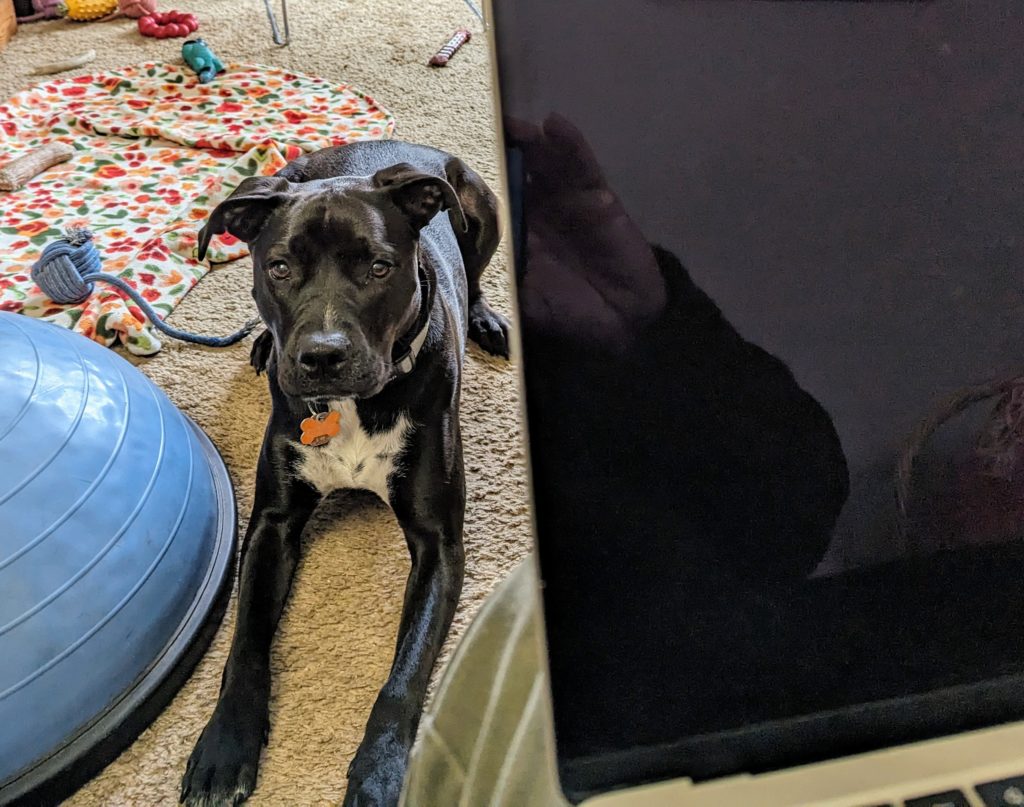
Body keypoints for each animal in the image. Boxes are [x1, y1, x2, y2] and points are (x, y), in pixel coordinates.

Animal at [182, 142, 509, 802]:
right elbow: (245, 644)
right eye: (279, 267)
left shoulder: (439, 545)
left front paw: (380, 771)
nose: (322, 356)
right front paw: (225, 745)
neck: (353, 406)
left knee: (477, 271)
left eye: (380, 268)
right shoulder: (272, 523)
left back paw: (484, 318)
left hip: (481, 208)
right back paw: (263, 345)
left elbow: (404, 675)